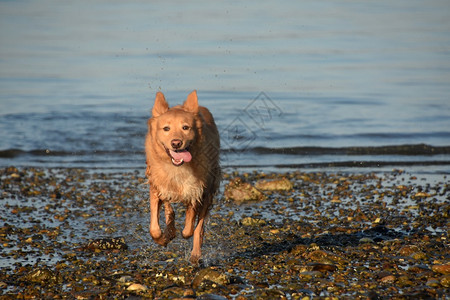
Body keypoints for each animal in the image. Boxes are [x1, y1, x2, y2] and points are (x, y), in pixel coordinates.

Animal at [145, 90, 221, 264]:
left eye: (185, 127)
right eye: (166, 128)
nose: (176, 143)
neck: (177, 168)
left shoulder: (196, 191)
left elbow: (189, 229)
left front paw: (181, 233)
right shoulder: (156, 187)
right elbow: (154, 228)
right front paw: (163, 238)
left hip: (209, 190)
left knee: (199, 228)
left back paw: (195, 254)